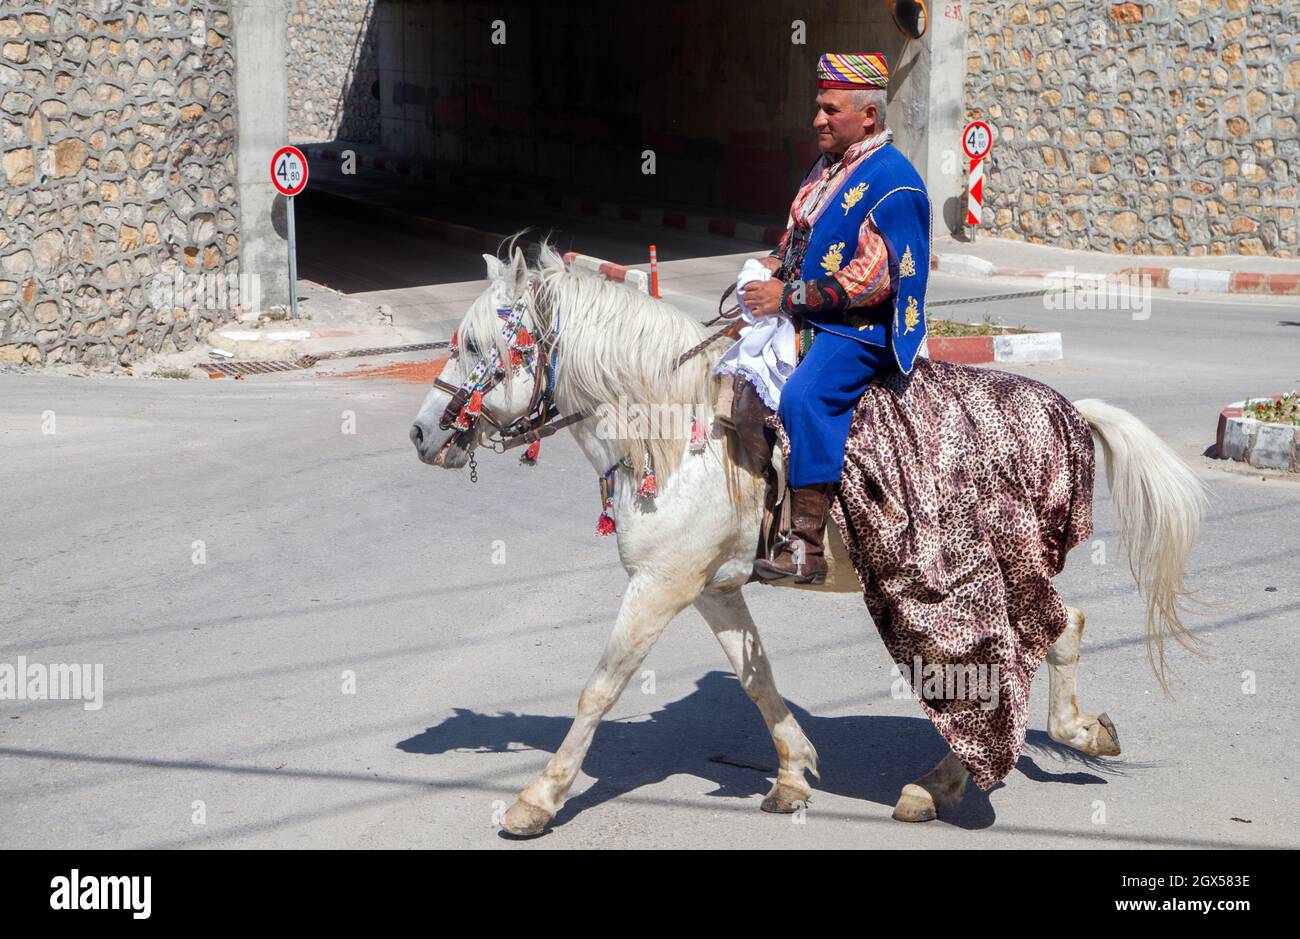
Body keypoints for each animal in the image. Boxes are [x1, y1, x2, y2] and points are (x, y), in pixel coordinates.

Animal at [408, 241, 1206, 832]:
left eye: (474, 343)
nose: (421, 433)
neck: (679, 432)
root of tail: (1068, 409)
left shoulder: (659, 587)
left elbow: (600, 687)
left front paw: (537, 799)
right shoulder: (711, 588)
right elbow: (756, 677)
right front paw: (793, 772)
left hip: (984, 577)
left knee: (1031, 644)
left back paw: (983, 767)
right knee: (1048, 636)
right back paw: (962, 775)